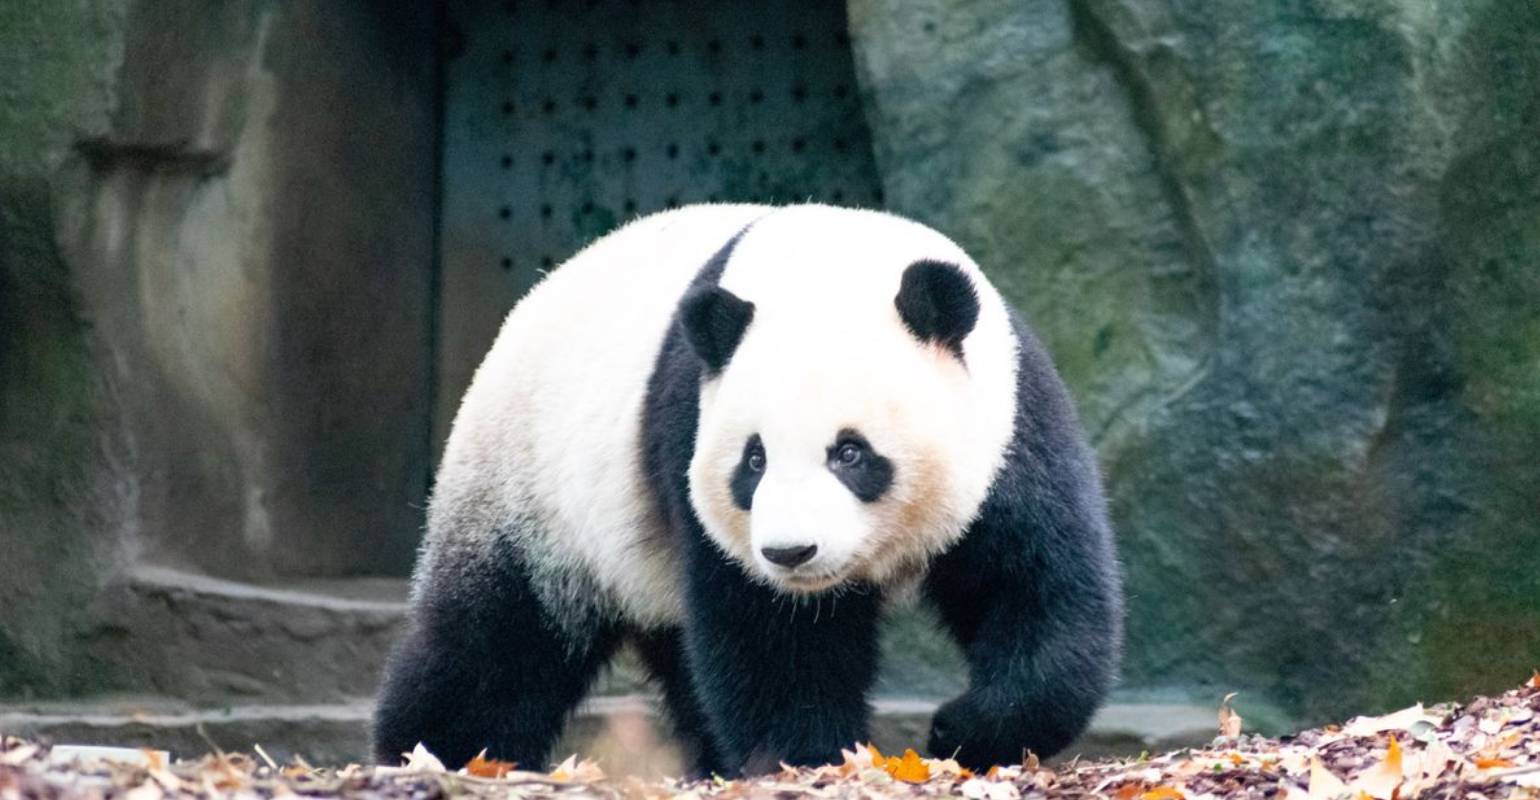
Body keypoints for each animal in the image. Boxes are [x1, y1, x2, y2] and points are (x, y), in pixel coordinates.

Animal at [373, 203, 1122, 776]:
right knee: (497, 641)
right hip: (530, 489)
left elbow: (1038, 589)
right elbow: (771, 637)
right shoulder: (690, 431)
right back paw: (434, 752)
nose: (792, 552)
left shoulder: (1011, 427)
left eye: (851, 453)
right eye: (753, 460)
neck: (828, 264)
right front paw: (814, 760)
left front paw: (961, 729)